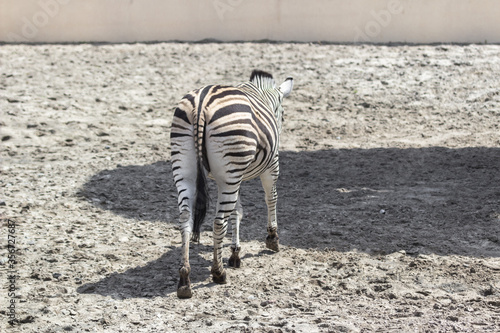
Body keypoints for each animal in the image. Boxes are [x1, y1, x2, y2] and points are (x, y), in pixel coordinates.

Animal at [171, 68, 292, 296]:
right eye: (282, 111)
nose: (280, 125)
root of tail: (201, 102)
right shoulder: (272, 164)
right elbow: (271, 198)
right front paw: (272, 238)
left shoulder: (233, 177)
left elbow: (237, 211)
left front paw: (235, 252)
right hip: (230, 173)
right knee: (219, 222)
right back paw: (218, 273)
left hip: (186, 169)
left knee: (185, 218)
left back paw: (184, 280)